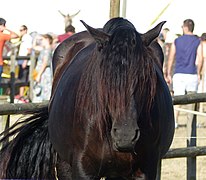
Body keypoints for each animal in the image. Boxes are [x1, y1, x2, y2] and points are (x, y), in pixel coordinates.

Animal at [0, 17, 174, 179]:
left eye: (144, 78)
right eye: (105, 77)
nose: (126, 135)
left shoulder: (145, 170)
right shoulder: (83, 169)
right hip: (64, 164)